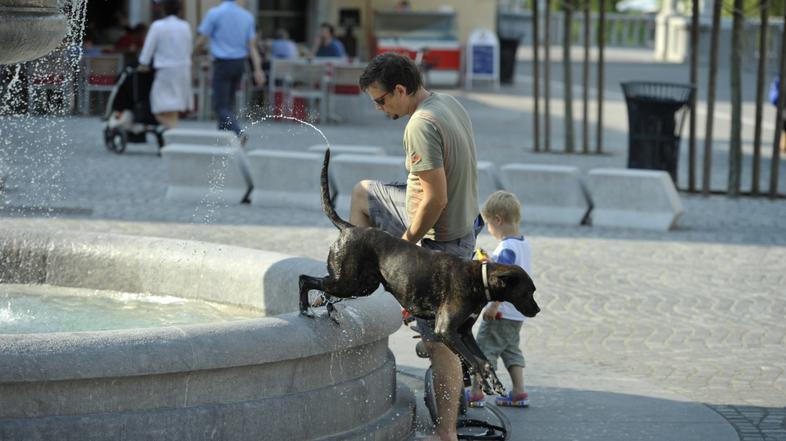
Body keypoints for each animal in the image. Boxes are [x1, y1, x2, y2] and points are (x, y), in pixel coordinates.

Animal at [300, 149, 540, 392]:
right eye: (528, 292)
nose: (537, 310)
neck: (478, 279)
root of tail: (350, 228)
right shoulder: (446, 331)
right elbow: (474, 361)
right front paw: (483, 379)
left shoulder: (464, 333)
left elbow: (484, 360)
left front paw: (495, 381)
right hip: (349, 282)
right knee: (305, 278)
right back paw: (305, 308)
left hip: (360, 285)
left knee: (322, 286)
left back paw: (326, 308)